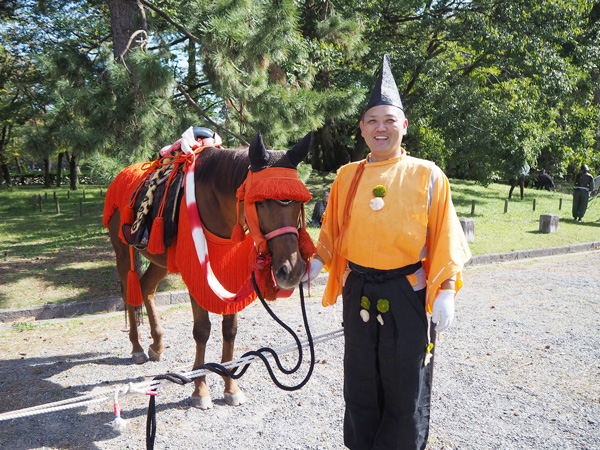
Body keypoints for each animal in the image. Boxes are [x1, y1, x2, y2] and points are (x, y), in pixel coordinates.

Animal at [103, 128, 316, 410]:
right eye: (259, 202)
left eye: (297, 203)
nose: (291, 270)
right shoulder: (195, 273)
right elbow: (202, 330)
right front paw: (200, 389)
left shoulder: (231, 275)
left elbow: (230, 330)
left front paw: (231, 385)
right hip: (122, 250)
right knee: (130, 292)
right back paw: (137, 347)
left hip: (161, 260)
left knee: (147, 288)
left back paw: (157, 344)